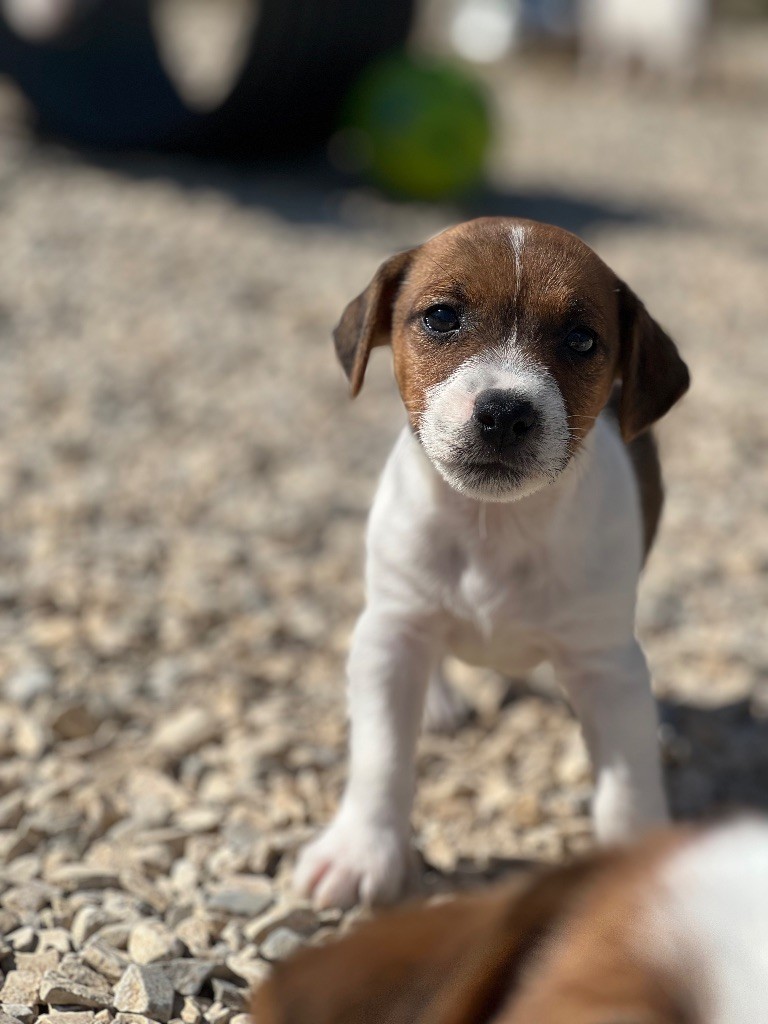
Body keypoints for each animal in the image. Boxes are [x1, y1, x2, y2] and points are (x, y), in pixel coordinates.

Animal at [296, 220, 692, 909]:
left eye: (581, 339)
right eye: (442, 317)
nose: (505, 412)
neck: (494, 526)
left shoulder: (606, 666)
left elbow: (627, 786)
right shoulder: (390, 633)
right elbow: (380, 756)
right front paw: (361, 851)